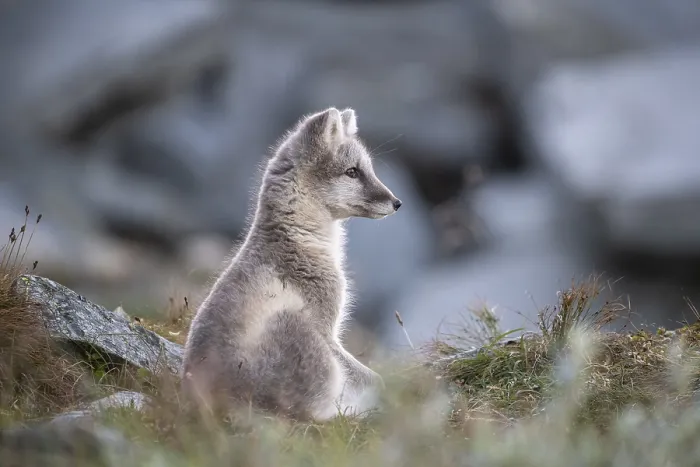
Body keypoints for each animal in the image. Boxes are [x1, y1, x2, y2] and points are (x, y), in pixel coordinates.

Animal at [181, 107, 402, 421]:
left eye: (368, 168)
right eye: (352, 172)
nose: (397, 202)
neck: (296, 238)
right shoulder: (326, 330)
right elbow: (373, 378)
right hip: (302, 336)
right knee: (314, 412)